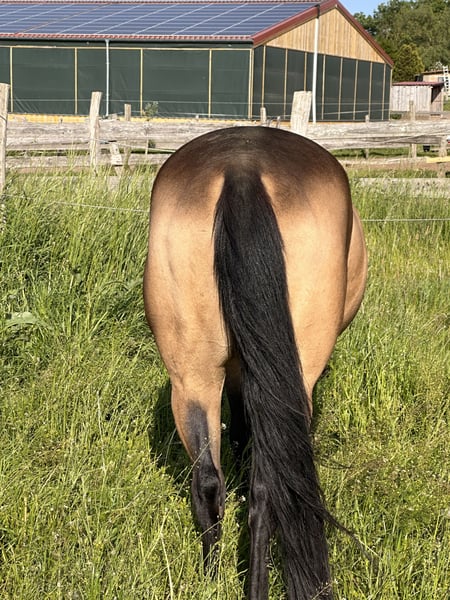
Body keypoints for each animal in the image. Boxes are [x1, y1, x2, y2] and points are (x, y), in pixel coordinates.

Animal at [143, 126, 367, 600]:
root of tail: (242, 170)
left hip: (191, 378)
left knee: (207, 482)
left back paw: (210, 578)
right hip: (295, 377)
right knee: (267, 492)